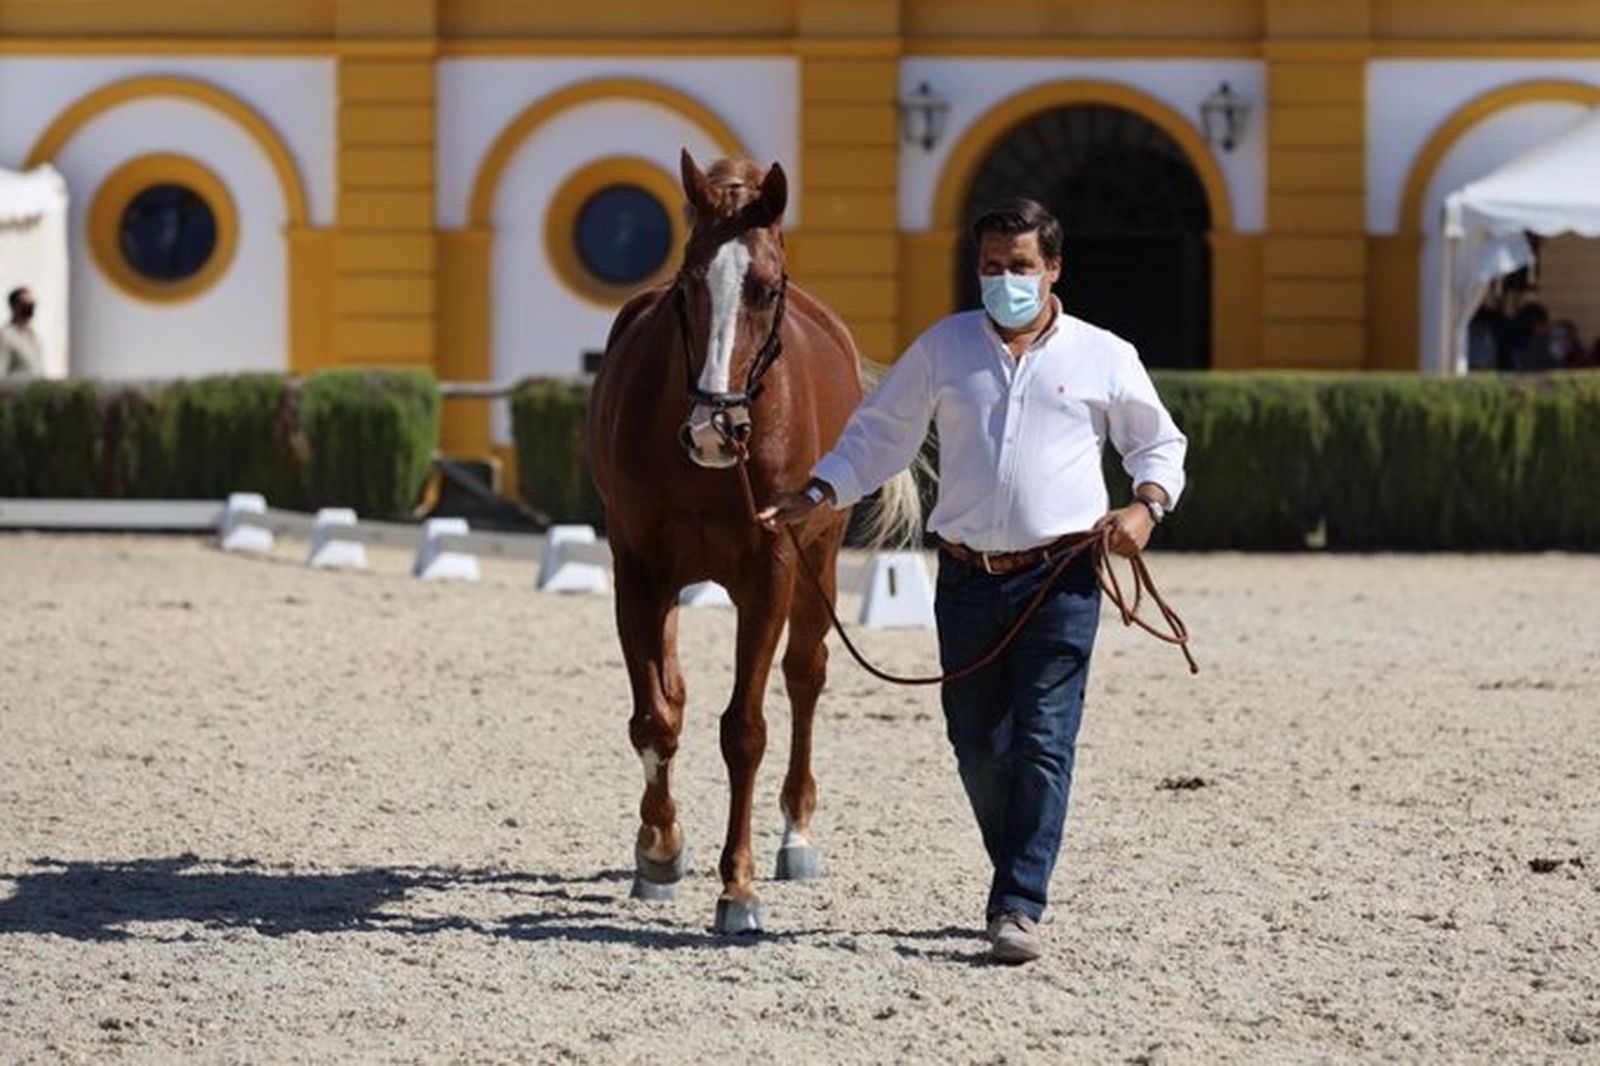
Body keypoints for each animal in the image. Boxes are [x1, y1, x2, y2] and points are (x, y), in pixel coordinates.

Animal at [585, 150, 921, 934]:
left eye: (766, 288)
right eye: (687, 284)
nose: (714, 428)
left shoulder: (770, 573)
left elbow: (744, 729)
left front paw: (736, 889)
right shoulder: (638, 573)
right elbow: (655, 718)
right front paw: (661, 847)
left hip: (818, 563)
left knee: (804, 677)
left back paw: (796, 834)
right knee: (674, 695)